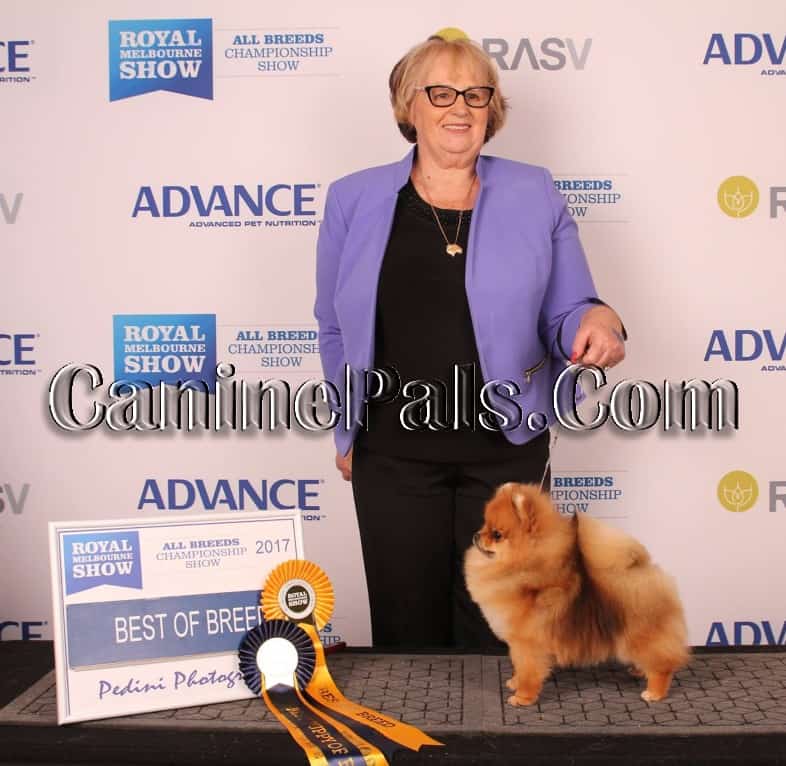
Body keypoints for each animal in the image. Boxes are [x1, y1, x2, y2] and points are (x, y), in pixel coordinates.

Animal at [462, 486, 688, 708]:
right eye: (484, 525)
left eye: (497, 534)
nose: (476, 535)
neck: (525, 567)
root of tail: (643, 569)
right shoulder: (517, 644)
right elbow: (518, 666)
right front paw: (515, 682)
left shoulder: (527, 643)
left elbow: (528, 671)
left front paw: (523, 697)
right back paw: (639, 670)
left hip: (640, 634)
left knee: (662, 664)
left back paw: (654, 692)